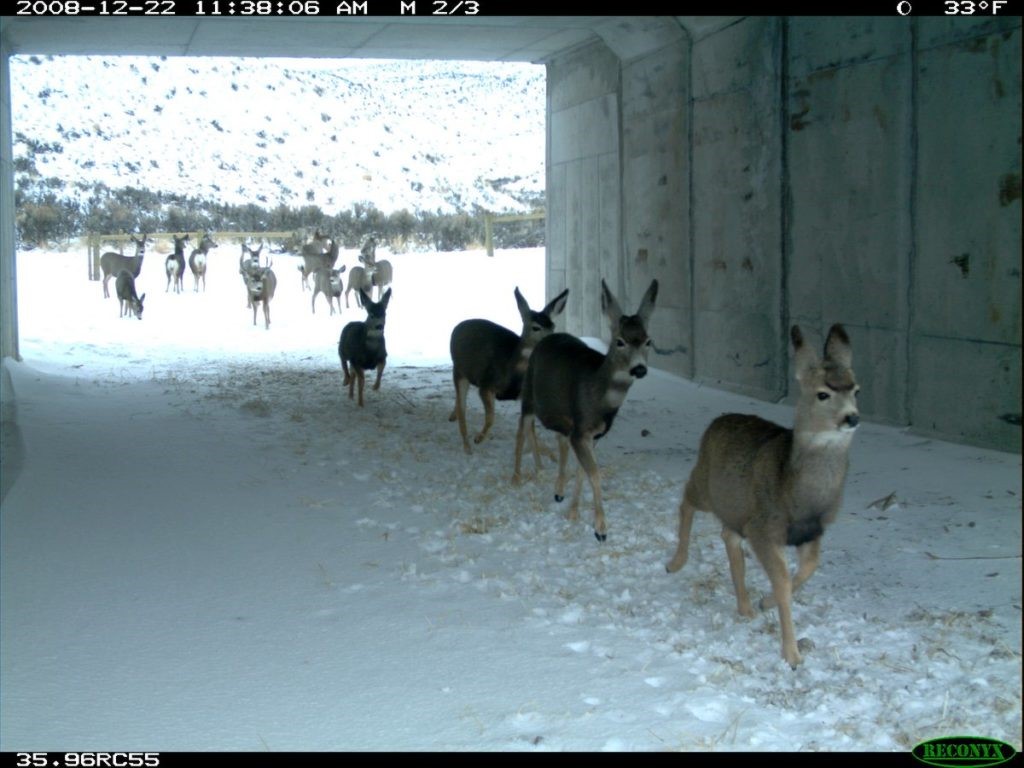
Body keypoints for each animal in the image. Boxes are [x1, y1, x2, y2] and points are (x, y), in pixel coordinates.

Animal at [450, 288, 573, 456]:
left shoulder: (524, 396)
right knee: (462, 405)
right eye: (535, 327)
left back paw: (452, 418)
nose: (553, 342)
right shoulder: (487, 383)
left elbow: (530, 430)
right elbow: (491, 418)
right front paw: (478, 438)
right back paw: (467, 446)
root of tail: (458, 326)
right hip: (459, 370)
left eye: (553, 326)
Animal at [509, 280, 655, 544]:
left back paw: (556, 487)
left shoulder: (592, 433)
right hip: (529, 396)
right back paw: (516, 478)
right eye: (620, 341)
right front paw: (601, 530)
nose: (639, 368)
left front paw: (574, 512)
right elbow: (594, 473)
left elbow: (582, 470)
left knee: (557, 440)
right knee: (522, 429)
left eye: (648, 340)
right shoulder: (581, 430)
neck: (598, 395)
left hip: (562, 416)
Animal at [667, 321, 860, 671]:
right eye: (823, 393)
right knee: (686, 500)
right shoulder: (765, 527)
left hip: (735, 507)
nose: (852, 417)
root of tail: (717, 420)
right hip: (706, 483)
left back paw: (745, 606)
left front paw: (764, 602)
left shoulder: (812, 530)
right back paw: (675, 563)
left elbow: (808, 570)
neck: (798, 493)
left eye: (856, 389)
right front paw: (792, 654)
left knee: (728, 535)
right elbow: (782, 581)